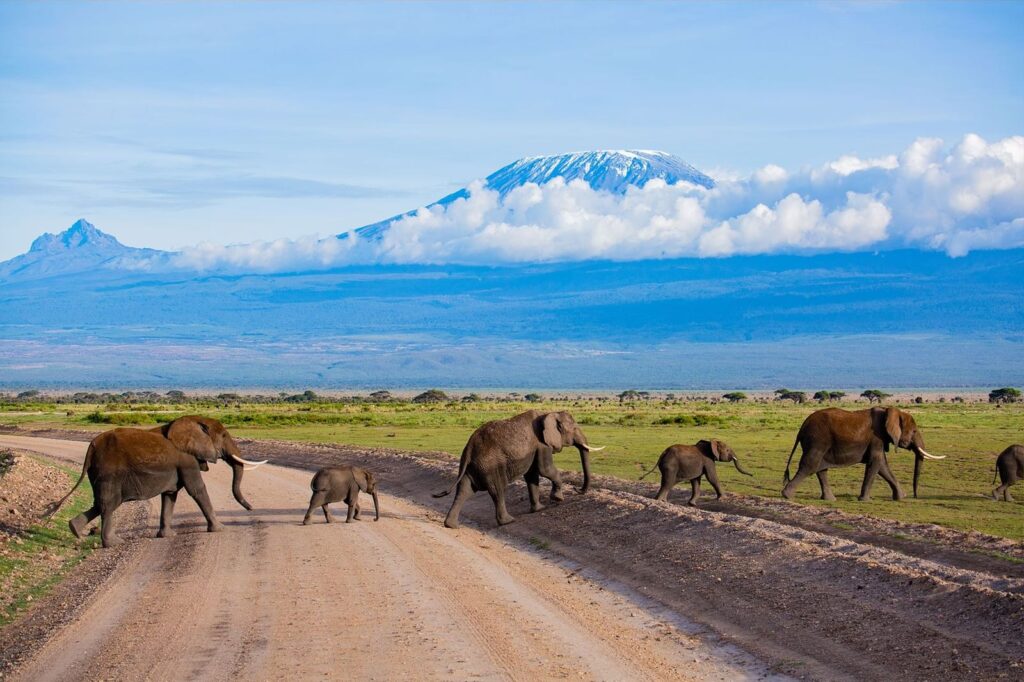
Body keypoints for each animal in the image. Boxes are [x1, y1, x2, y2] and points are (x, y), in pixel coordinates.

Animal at [45, 415, 266, 547]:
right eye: (224, 435)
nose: (252, 509)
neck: (193, 420)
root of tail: (90, 447)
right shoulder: (187, 460)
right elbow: (197, 489)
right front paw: (220, 529)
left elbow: (170, 495)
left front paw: (167, 537)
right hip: (109, 472)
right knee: (108, 504)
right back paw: (114, 542)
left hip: (98, 473)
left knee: (99, 504)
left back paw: (75, 529)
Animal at [432, 410, 603, 529]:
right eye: (574, 428)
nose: (577, 490)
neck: (549, 412)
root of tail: (469, 447)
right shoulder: (542, 444)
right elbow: (545, 470)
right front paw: (558, 499)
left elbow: (532, 476)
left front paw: (539, 509)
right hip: (490, 465)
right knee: (499, 490)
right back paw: (508, 521)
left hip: (473, 466)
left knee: (464, 490)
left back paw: (451, 525)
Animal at [781, 407, 944, 501]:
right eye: (914, 431)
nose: (915, 496)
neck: (890, 411)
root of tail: (802, 427)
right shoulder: (877, 437)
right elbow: (876, 463)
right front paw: (865, 500)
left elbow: (883, 465)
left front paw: (900, 497)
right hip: (818, 440)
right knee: (810, 465)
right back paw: (787, 495)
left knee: (821, 468)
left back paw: (830, 499)